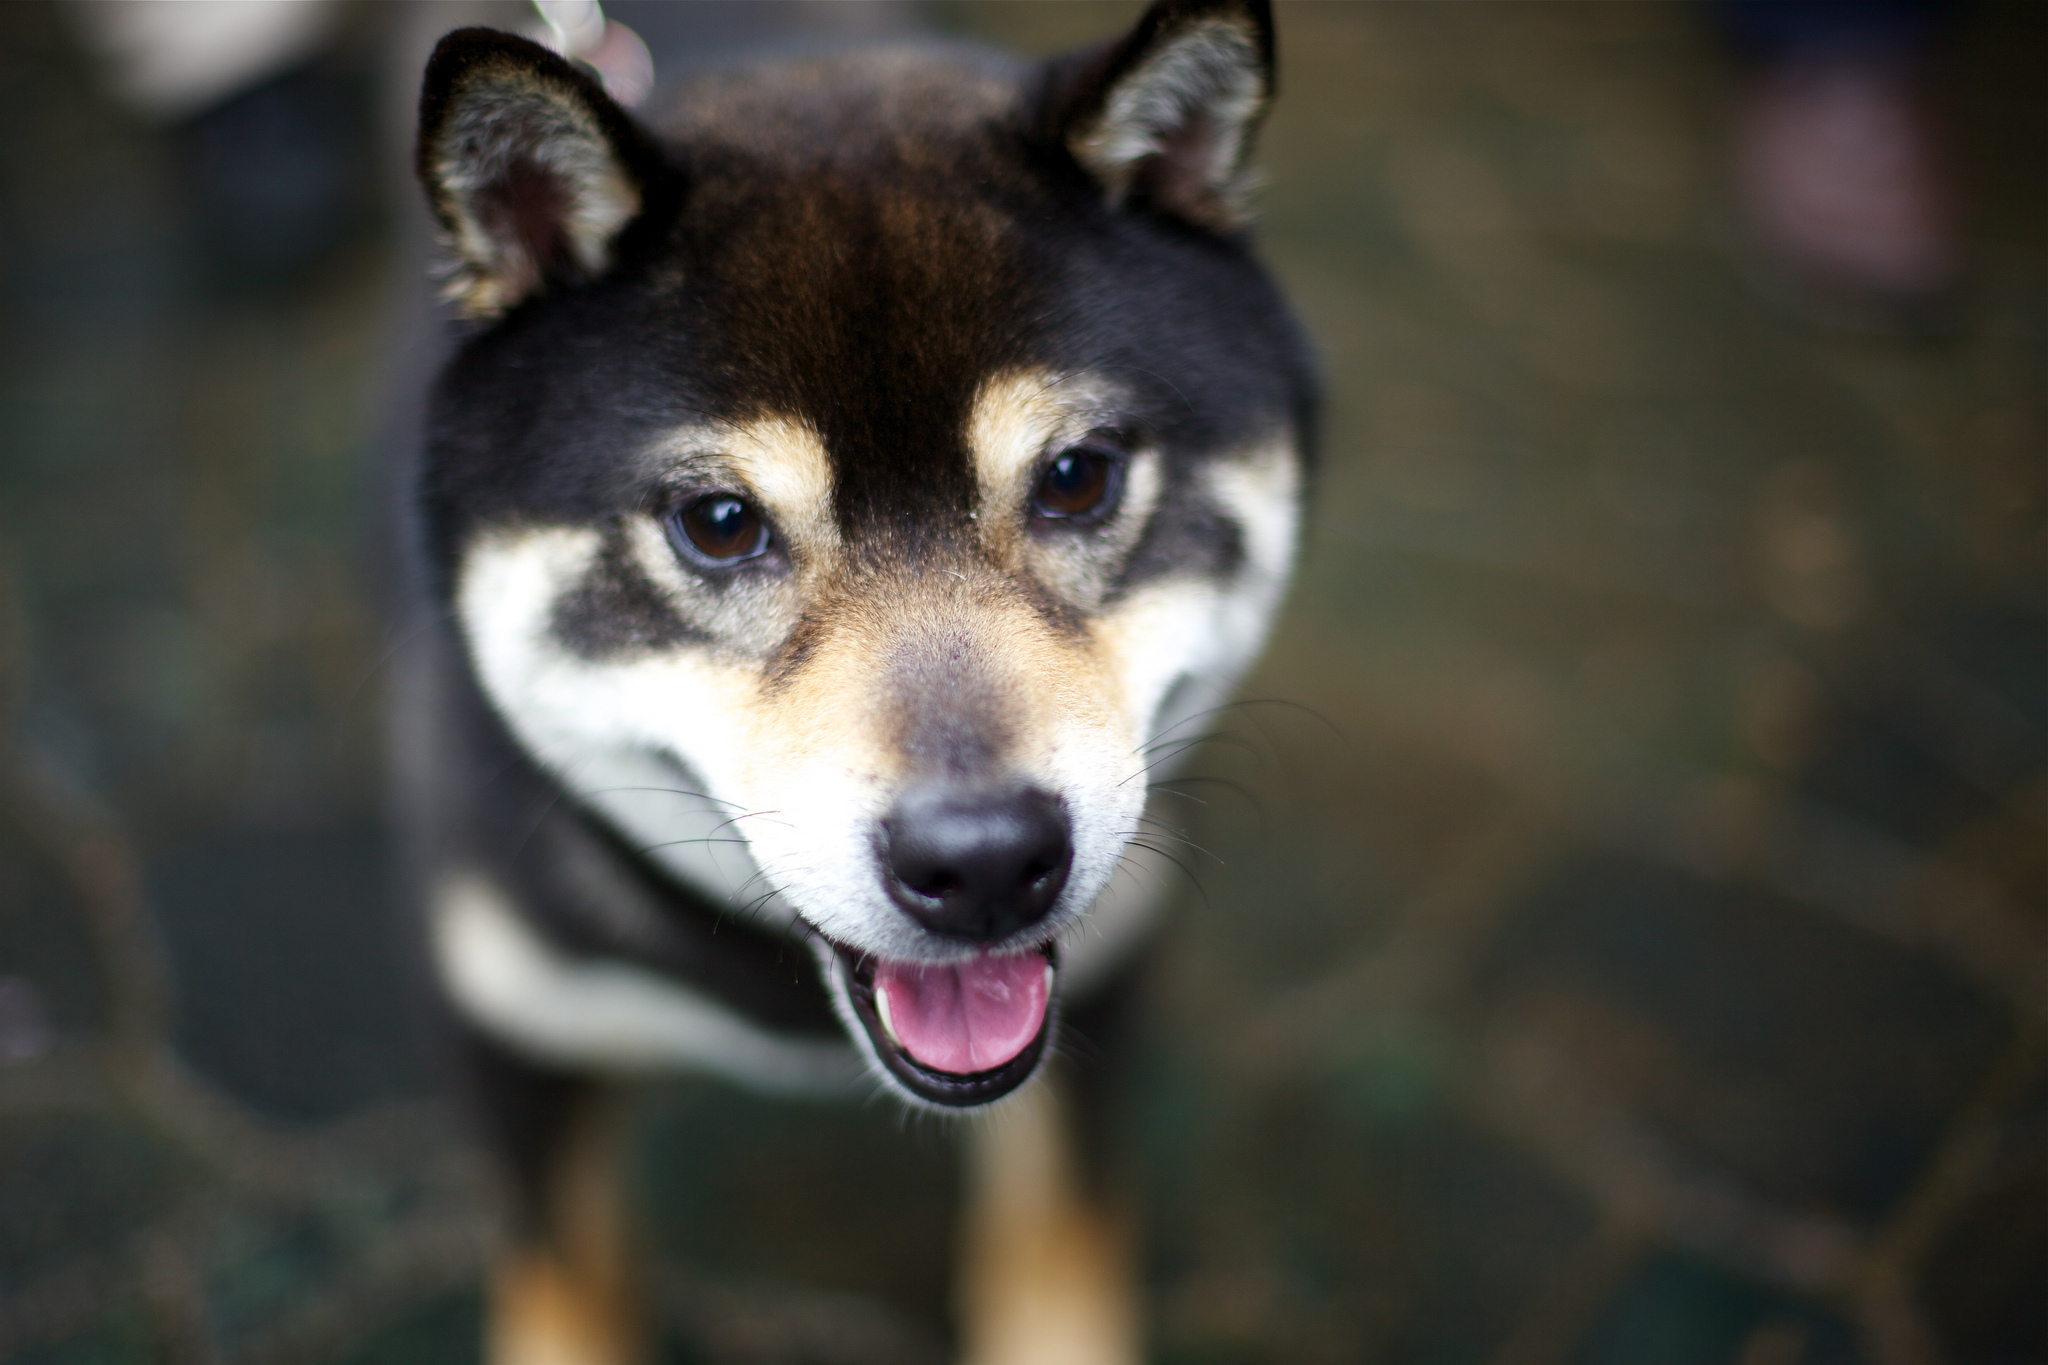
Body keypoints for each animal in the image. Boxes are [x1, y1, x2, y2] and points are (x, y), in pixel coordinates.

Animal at [393, 5, 1318, 1358]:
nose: (983, 861)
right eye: (720, 522)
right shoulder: (514, 1034)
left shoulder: (1106, 993)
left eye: (1077, 476)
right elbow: (572, 1287)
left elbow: (1062, 1257)